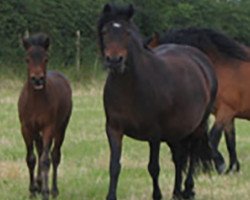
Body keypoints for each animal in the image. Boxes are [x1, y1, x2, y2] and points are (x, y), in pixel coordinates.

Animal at [17, 33, 72, 199]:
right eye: (27, 59)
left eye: (46, 58)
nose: (37, 79)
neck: (36, 102)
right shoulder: (26, 128)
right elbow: (31, 158)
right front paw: (32, 190)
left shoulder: (49, 127)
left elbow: (45, 160)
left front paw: (46, 192)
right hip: (37, 132)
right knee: (40, 150)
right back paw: (39, 184)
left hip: (61, 128)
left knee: (54, 155)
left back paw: (53, 190)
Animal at [97, 3, 217, 200]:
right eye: (105, 31)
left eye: (127, 33)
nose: (115, 61)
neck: (131, 87)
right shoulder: (114, 129)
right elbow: (114, 166)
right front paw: (111, 196)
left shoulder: (154, 134)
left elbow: (153, 167)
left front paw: (157, 195)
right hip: (176, 131)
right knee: (179, 157)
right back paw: (176, 192)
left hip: (197, 126)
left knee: (191, 154)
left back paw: (188, 189)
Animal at [146, 27, 250, 174]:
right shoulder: (229, 115)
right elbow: (230, 142)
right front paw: (232, 168)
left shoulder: (225, 112)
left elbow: (213, 138)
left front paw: (217, 164)